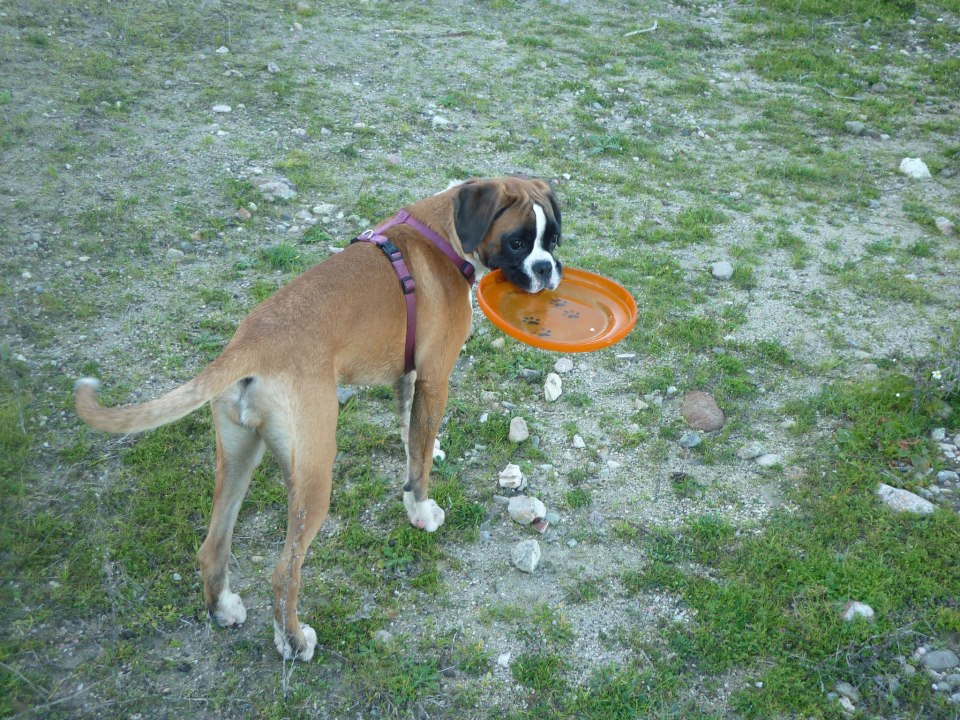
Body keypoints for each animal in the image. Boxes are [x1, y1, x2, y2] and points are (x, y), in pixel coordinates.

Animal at [75, 176, 562, 661]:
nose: (547, 269)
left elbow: (411, 436)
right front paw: (421, 511)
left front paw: (424, 459)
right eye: (517, 242)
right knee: (284, 571)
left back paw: (223, 609)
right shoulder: (435, 378)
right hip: (313, 476)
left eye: (553, 239)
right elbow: (419, 466)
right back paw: (293, 642)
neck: (442, 235)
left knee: (212, 547)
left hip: (238, 456)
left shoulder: (409, 377)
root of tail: (248, 345)